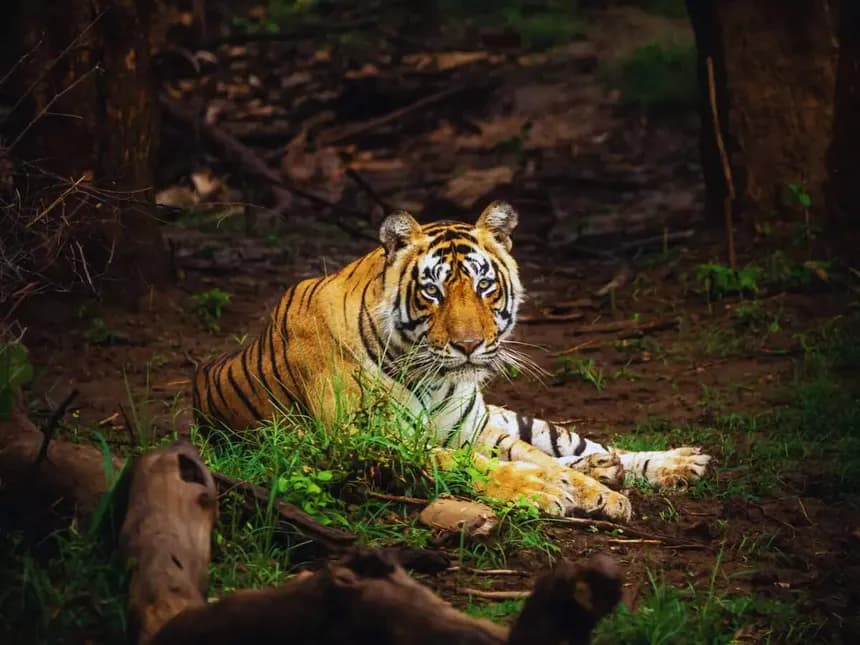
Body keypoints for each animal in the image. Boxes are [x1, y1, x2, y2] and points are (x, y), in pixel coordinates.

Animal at [192, 201, 711, 520]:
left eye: (484, 286)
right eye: (433, 291)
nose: (468, 344)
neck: (434, 378)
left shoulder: (475, 430)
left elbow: (538, 459)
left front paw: (597, 493)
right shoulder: (377, 443)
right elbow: (482, 467)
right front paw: (543, 491)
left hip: (509, 418)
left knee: (578, 444)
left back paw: (673, 463)